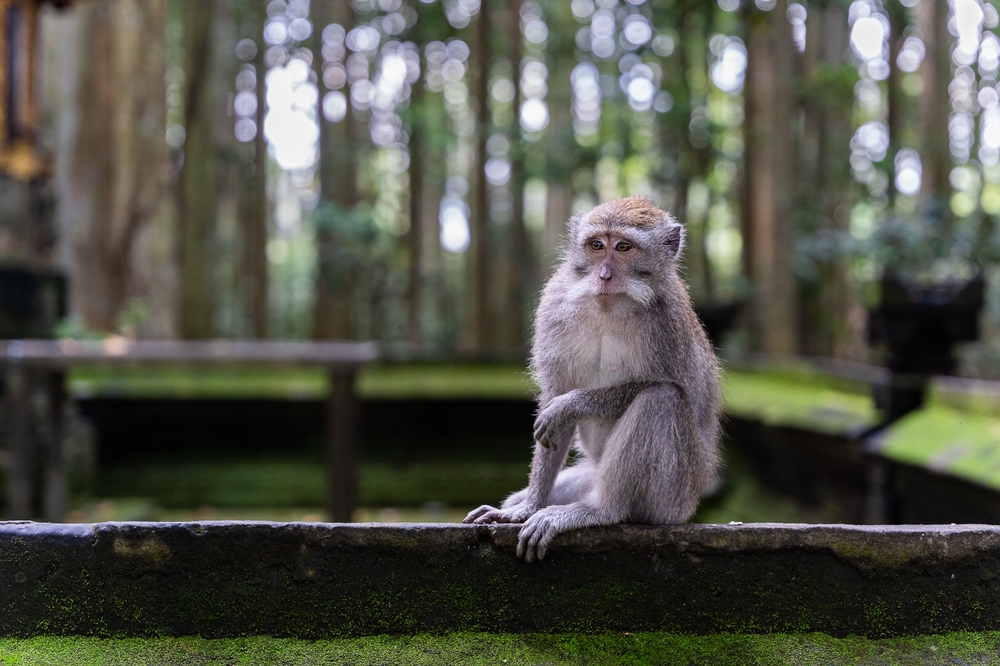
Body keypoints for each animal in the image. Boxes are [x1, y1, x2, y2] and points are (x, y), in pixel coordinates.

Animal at [463, 195, 721, 562]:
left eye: (624, 247)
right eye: (597, 246)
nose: (604, 275)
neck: (609, 309)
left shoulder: (668, 322)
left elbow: (672, 389)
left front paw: (570, 405)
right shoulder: (554, 303)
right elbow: (554, 394)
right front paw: (527, 507)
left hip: (672, 501)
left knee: (661, 399)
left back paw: (600, 510)